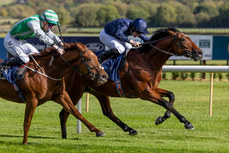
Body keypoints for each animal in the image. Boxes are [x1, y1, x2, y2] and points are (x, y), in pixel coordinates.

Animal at [58, 27, 202, 139]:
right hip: (75, 91)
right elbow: (166, 103)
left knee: (107, 112)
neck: (146, 61)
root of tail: (66, 62)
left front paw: (162, 118)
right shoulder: (144, 93)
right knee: (65, 112)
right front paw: (186, 122)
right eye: (182, 39)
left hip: (98, 91)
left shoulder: (153, 88)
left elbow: (171, 95)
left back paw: (130, 129)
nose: (199, 53)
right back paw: (65, 137)